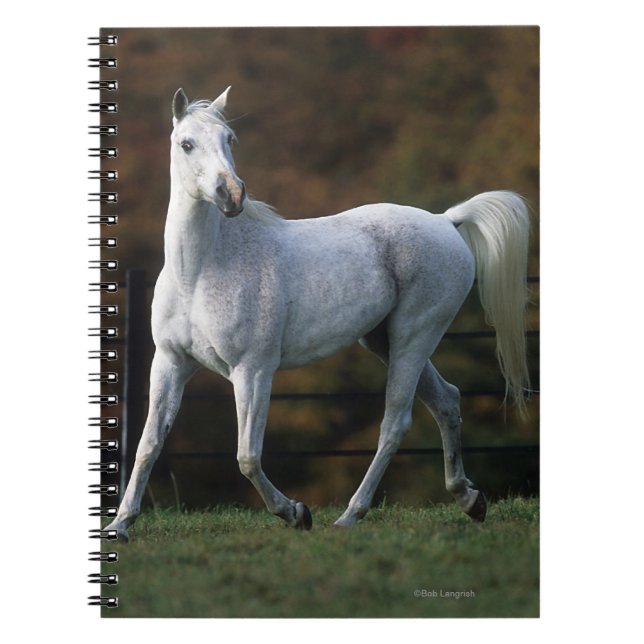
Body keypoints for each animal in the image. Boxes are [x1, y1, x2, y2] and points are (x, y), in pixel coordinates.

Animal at [105, 87, 531, 541]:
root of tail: (446, 220)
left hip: (414, 337)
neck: (201, 271)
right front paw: (120, 525)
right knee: (447, 400)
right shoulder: (170, 364)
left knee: (395, 422)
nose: (231, 195)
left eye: (229, 139)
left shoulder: (253, 371)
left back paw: (351, 515)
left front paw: (295, 513)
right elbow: (149, 445)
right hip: (384, 341)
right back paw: (470, 500)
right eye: (186, 144)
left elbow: (247, 456)